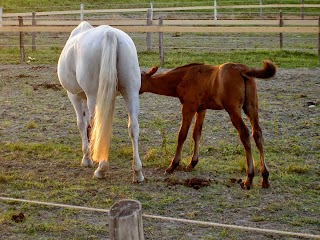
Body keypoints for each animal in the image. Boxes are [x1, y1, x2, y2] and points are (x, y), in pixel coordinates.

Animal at [57, 22, 145, 182]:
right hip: (131, 92)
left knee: (99, 125)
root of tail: (110, 34)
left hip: (94, 97)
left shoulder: (74, 96)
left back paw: (101, 169)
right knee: (133, 127)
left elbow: (82, 124)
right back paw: (137, 172)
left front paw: (87, 158)